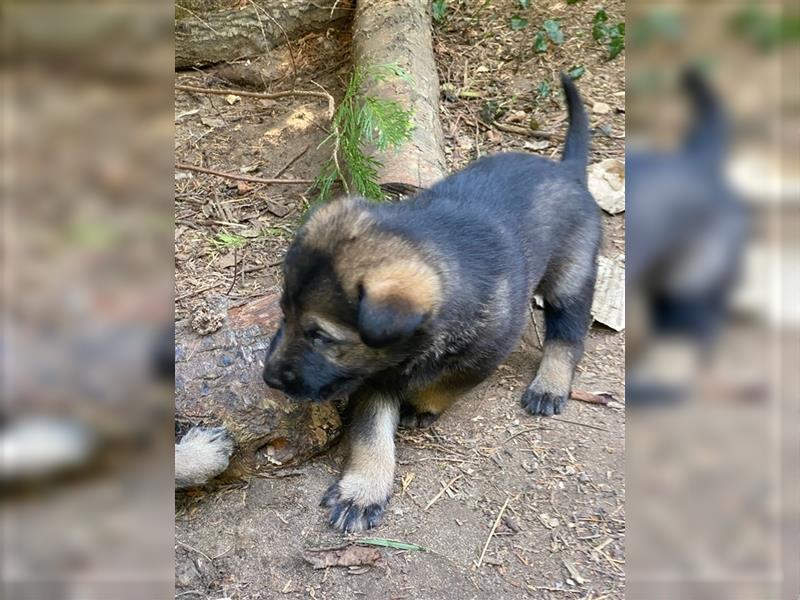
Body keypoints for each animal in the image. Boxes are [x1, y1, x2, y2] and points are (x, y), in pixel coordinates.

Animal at [262, 74, 600, 528]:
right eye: (284, 315)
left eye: (321, 337)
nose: (269, 378)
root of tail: (567, 170)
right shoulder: (376, 375)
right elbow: (370, 433)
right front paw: (363, 489)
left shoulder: (485, 353)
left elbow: (448, 383)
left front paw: (421, 404)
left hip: (571, 275)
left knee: (568, 334)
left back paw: (550, 384)